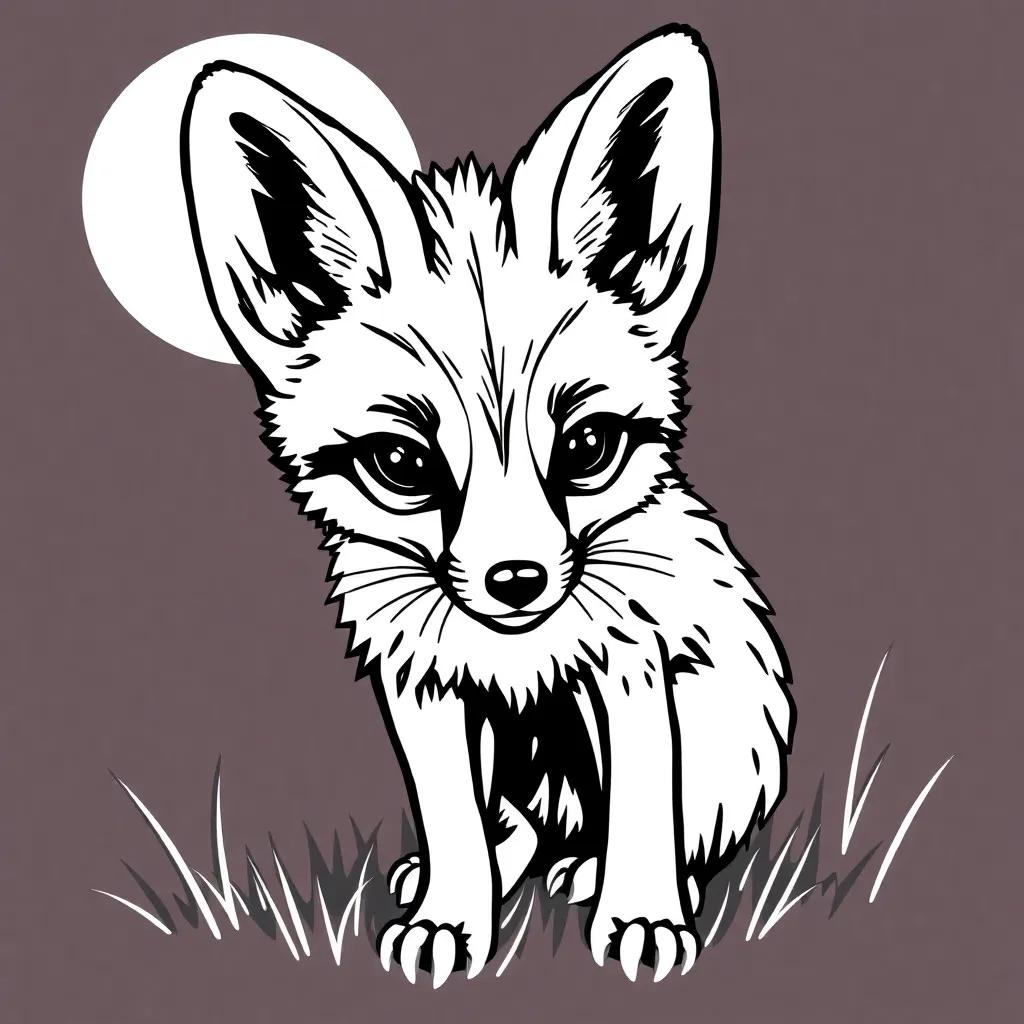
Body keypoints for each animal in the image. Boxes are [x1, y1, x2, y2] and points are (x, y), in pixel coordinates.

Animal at [181, 24, 794, 985]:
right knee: (511, 829)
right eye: (402, 463)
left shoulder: (632, 666)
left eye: (587, 446)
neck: (518, 656)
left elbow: (646, 806)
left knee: (660, 829)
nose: (518, 581)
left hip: (714, 732)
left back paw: (604, 874)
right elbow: (454, 825)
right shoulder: (421, 682)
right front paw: (450, 919)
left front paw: (643, 915)